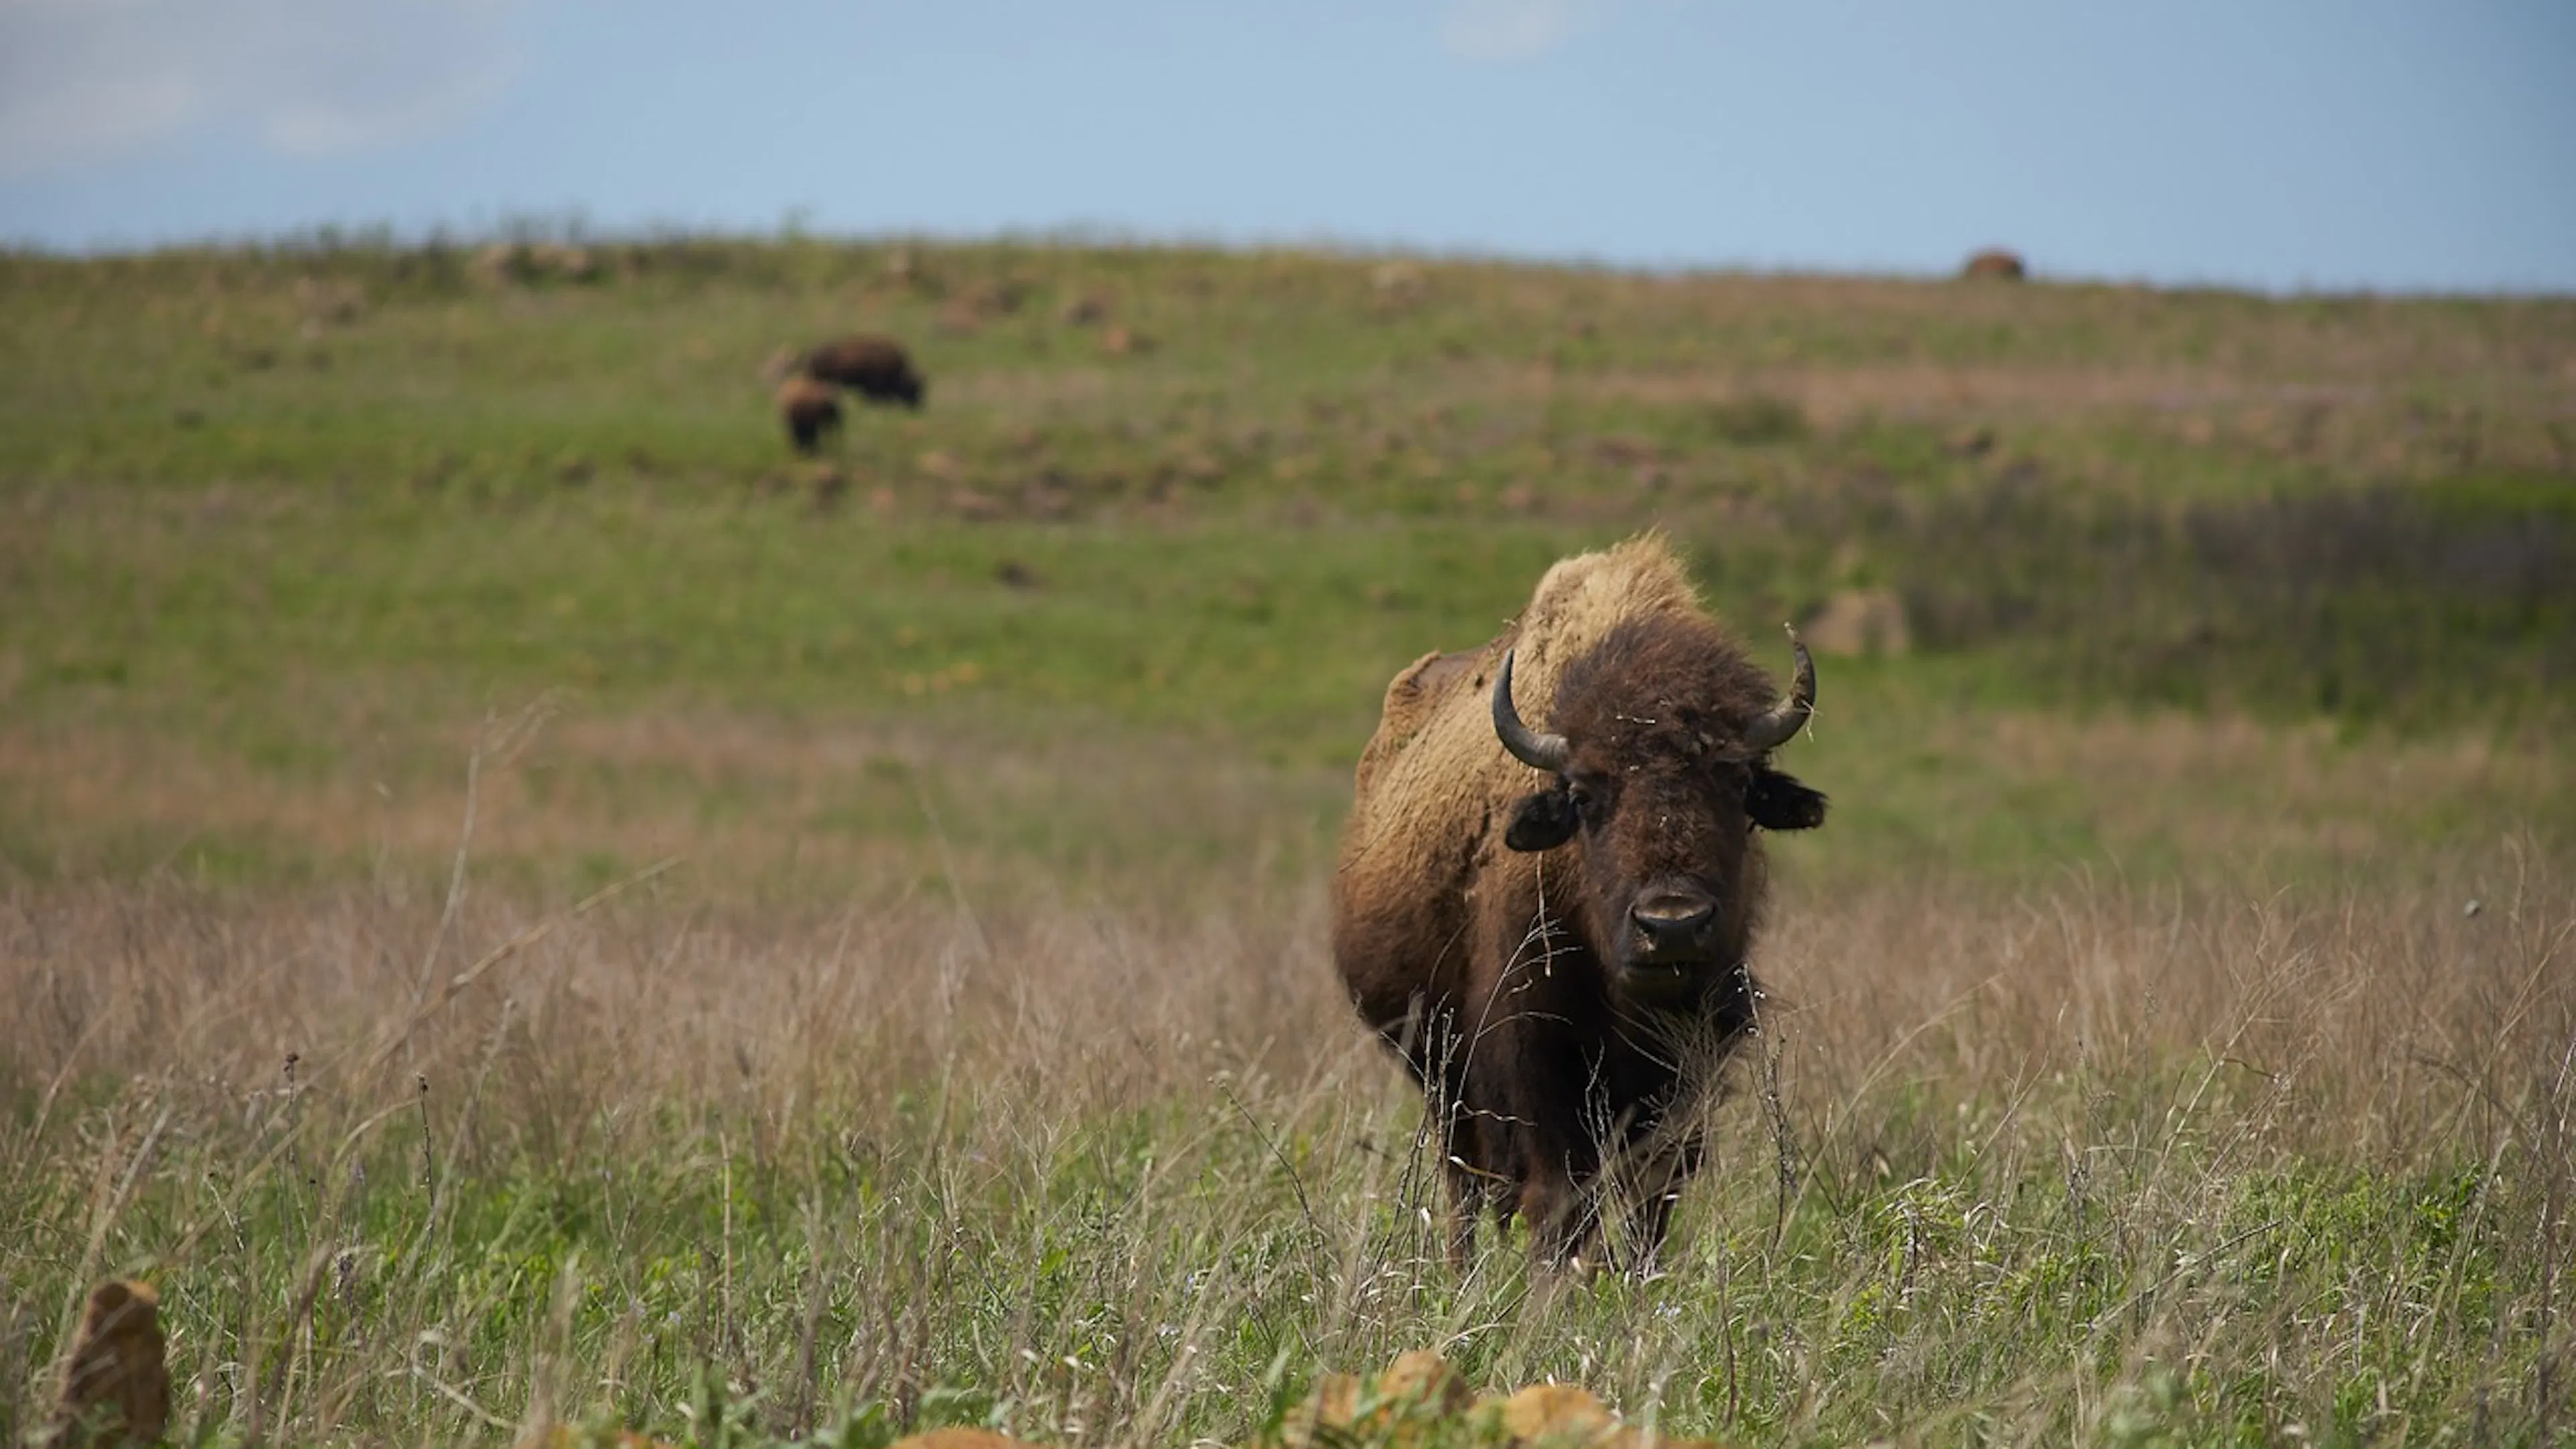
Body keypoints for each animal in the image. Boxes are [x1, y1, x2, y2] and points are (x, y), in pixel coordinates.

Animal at [1331, 535, 1825, 1270]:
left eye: (1738, 781)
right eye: (1586, 795)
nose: (1671, 926)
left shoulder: (1687, 1071)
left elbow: (1653, 1200)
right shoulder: (1537, 1064)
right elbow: (1560, 1199)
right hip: (1440, 1073)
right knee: (1464, 1186)